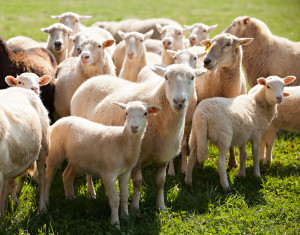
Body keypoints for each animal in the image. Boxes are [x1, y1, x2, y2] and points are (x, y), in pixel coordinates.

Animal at [70, 63, 206, 209]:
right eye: (165, 77)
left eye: (192, 77)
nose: (179, 101)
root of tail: (92, 79)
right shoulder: (137, 158)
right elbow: (138, 182)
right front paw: (135, 206)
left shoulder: (163, 156)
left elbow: (161, 181)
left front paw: (161, 206)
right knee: (88, 172)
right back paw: (91, 193)